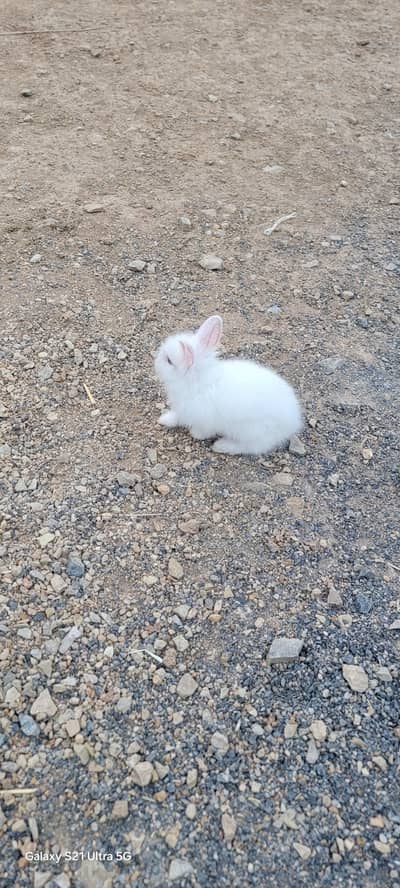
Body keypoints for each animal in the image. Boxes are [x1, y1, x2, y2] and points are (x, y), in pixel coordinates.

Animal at [154, 314, 303, 455]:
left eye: (169, 361)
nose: (155, 363)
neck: (196, 379)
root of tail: (293, 421)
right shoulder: (182, 410)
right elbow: (177, 417)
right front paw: (164, 420)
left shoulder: (204, 419)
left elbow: (202, 431)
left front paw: (195, 434)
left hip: (251, 432)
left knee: (252, 447)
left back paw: (222, 445)